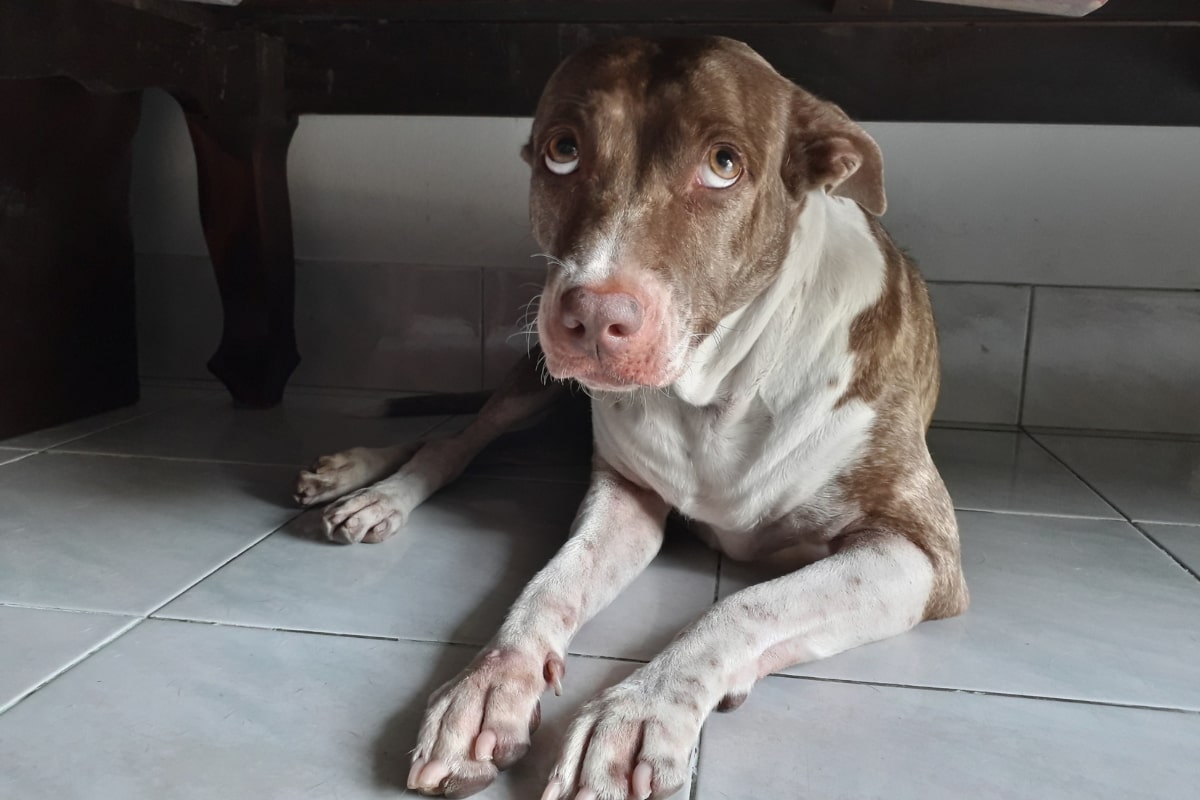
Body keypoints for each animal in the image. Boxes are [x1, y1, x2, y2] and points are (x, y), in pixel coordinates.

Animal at [295, 35, 969, 800]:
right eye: (563, 150)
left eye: (724, 164)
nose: (593, 317)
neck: (722, 388)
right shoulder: (625, 495)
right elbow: (546, 586)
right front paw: (486, 686)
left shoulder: (918, 552)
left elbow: (744, 605)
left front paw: (637, 713)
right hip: (537, 380)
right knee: (454, 440)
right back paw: (367, 483)